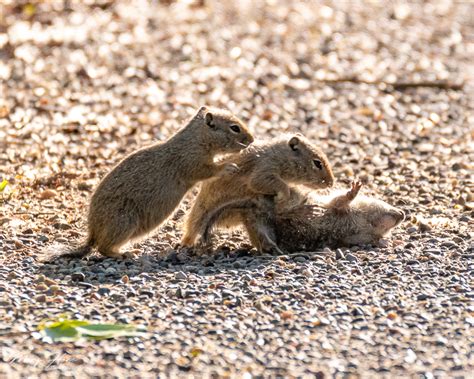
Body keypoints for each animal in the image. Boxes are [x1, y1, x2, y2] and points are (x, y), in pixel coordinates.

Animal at [181, 134, 334, 249]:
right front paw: (284, 195)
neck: (280, 154)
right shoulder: (265, 169)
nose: (331, 183)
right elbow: (270, 184)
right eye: (317, 163)